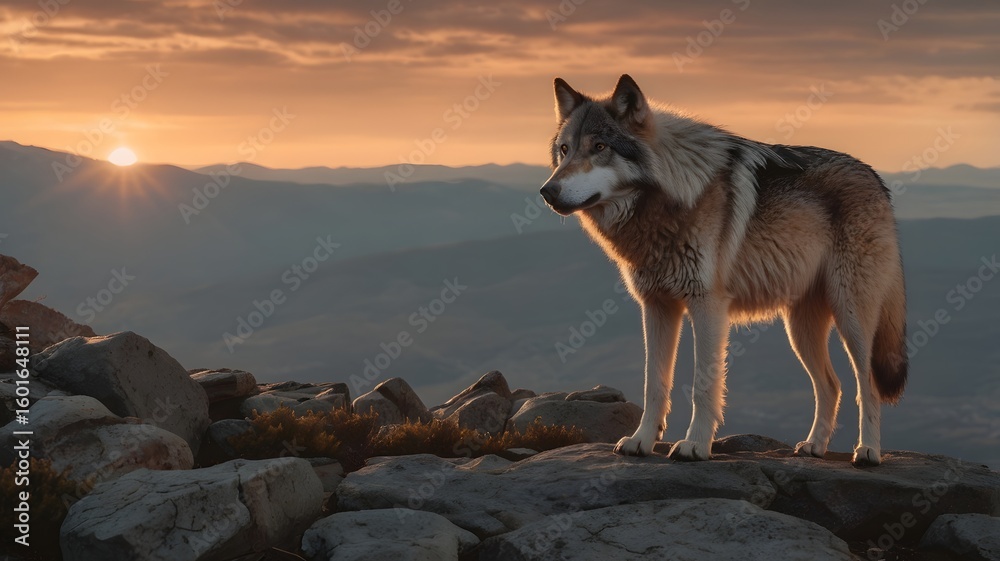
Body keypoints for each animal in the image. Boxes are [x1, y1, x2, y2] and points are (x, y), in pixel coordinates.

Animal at [540, 75, 907, 466]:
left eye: (599, 146)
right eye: (564, 150)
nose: (547, 191)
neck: (670, 199)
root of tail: (876, 178)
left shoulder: (707, 306)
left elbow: (703, 385)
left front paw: (695, 445)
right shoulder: (656, 306)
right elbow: (654, 383)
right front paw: (641, 441)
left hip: (851, 316)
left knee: (867, 386)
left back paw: (868, 451)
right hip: (799, 328)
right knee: (831, 385)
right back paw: (814, 446)